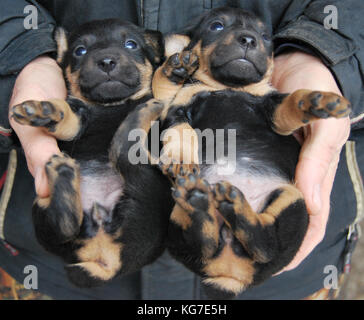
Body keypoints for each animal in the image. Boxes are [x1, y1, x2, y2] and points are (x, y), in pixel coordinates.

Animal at [9, 18, 172, 288]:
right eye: (80, 51)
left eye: (131, 44)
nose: (106, 61)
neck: (112, 106)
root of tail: (110, 263)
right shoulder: (79, 120)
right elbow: (68, 116)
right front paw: (46, 110)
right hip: (43, 209)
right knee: (65, 225)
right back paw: (64, 173)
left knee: (124, 148)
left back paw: (144, 111)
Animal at [150, 6, 350, 298]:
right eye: (217, 26)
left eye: (265, 36)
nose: (248, 39)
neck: (229, 86)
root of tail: (231, 275)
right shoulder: (173, 109)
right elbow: (178, 126)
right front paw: (172, 69)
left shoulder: (274, 111)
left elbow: (291, 102)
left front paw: (314, 101)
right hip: (177, 222)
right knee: (206, 241)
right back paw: (200, 202)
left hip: (294, 200)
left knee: (265, 243)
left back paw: (230, 205)